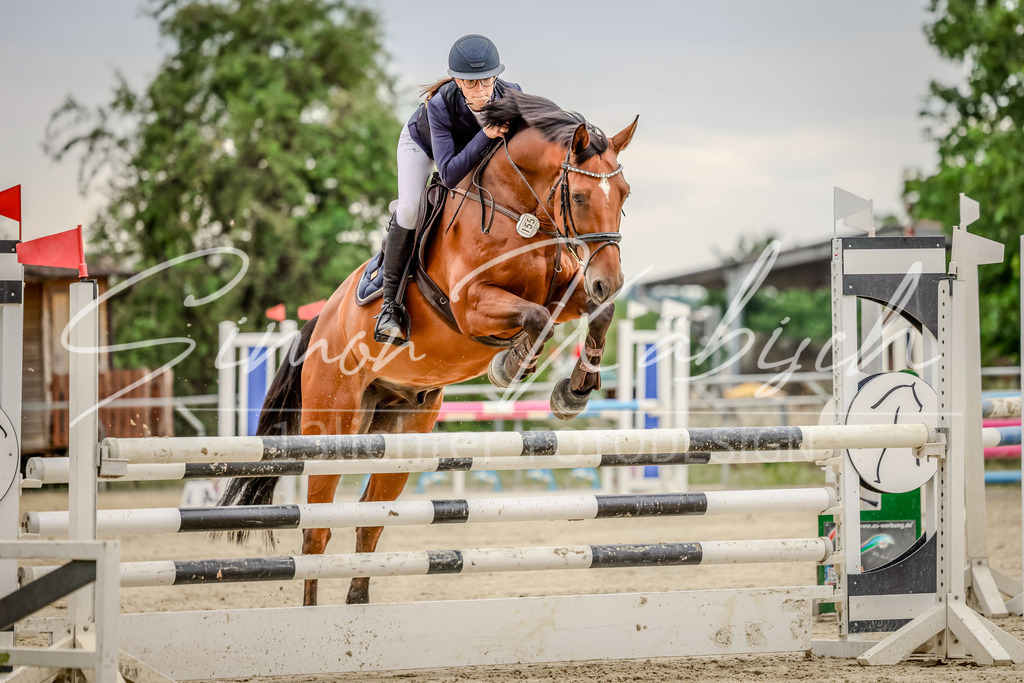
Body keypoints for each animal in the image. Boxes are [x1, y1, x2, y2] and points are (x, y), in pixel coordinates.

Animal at [218, 90, 638, 606]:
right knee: (317, 531)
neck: (519, 213)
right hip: (331, 423)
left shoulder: (568, 290)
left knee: (369, 522)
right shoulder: (471, 304)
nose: (610, 280)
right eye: (578, 196)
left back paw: (357, 609)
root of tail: (318, 326)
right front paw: (512, 364)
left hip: (402, 429)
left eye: (624, 195)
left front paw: (573, 391)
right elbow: (536, 319)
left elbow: (598, 313)